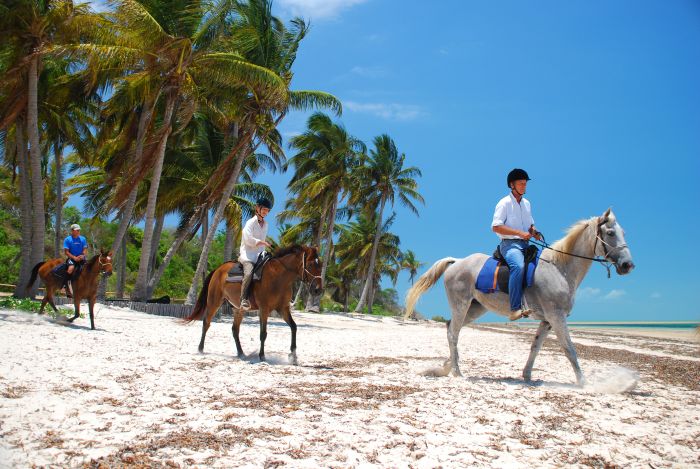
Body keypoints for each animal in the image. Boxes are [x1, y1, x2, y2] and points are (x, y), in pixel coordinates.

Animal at [182, 245, 322, 362]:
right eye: (310, 264)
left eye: (320, 265)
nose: (318, 290)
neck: (279, 276)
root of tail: (219, 269)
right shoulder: (264, 309)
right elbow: (263, 333)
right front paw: (262, 356)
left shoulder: (283, 308)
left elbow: (294, 327)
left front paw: (293, 356)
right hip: (214, 302)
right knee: (206, 323)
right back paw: (200, 349)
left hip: (238, 309)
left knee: (235, 329)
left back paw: (241, 353)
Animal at [404, 208, 636, 384]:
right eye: (610, 233)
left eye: (623, 232)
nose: (628, 265)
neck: (560, 268)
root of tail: (457, 261)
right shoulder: (557, 317)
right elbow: (569, 349)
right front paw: (583, 383)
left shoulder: (547, 321)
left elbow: (535, 347)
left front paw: (527, 375)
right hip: (461, 305)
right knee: (453, 334)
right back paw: (457, 371)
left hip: (475, 309)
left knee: (450, 328)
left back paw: (448, 365)